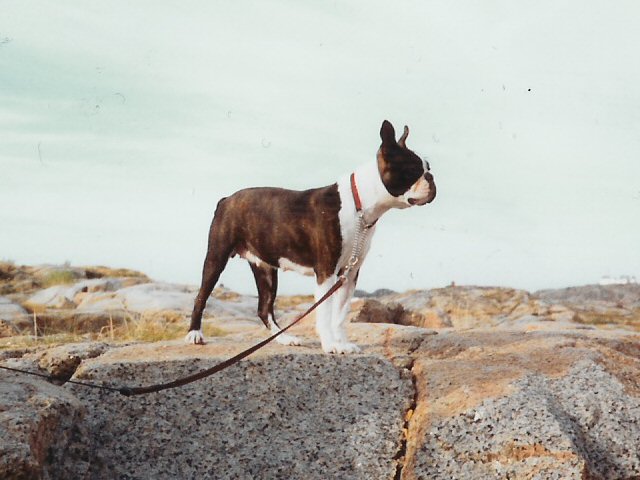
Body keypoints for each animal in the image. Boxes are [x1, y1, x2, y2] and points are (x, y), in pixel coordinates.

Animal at [186, 120, 436, 353]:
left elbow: (340, 314)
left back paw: (285, 338)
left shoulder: (350, 274)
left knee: (264, 308)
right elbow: (325, 313)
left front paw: (343, 343)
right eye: (413, 169)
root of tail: (227, 199)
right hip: (216, 257)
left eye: (428, 166)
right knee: (201, 296)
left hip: (265, 268)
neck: (360, 206)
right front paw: (330, 345)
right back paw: (195, 334)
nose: (431, 176)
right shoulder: (326, 271)